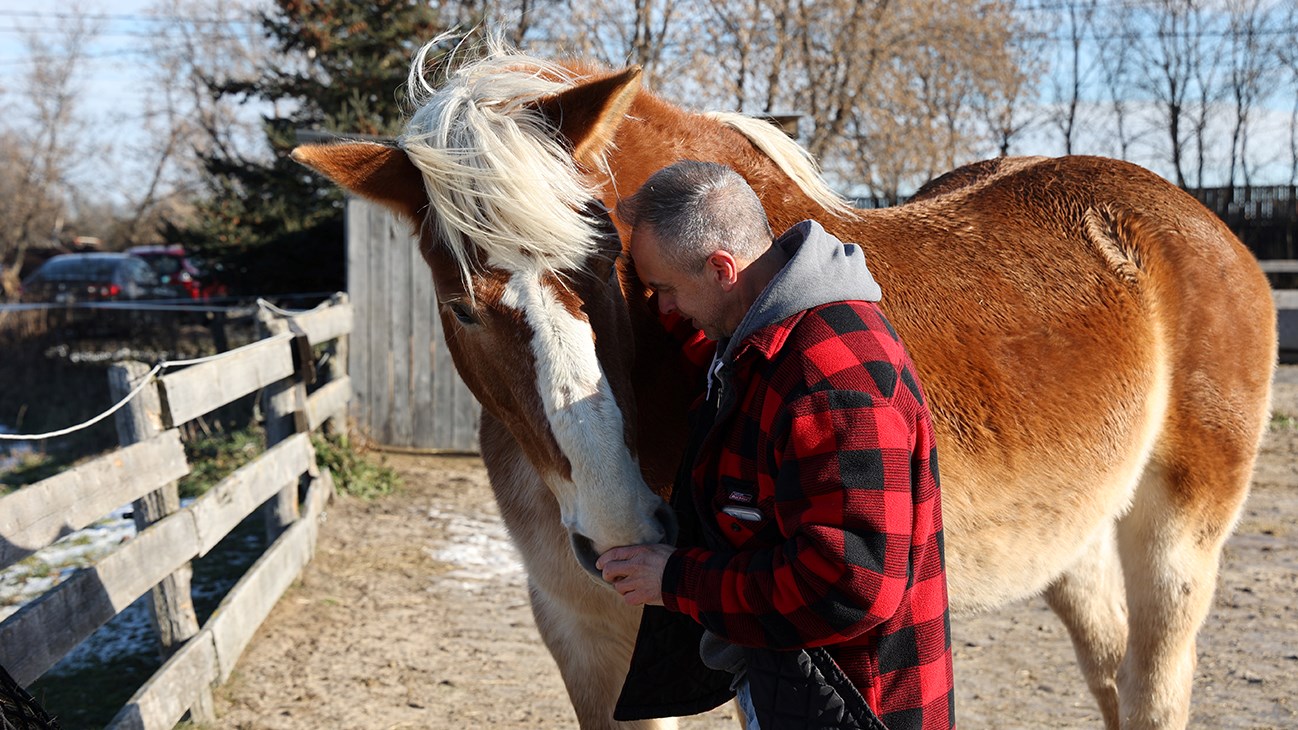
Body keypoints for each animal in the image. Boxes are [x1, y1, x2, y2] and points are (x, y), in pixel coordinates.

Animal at [292, 41, 1276, 729]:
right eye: (462, 308)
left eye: (606, 271)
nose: (624, 529)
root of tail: (1202, 226)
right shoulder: (587, 635)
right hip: (1072, 539)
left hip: (1177, 537)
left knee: (1152, 681)